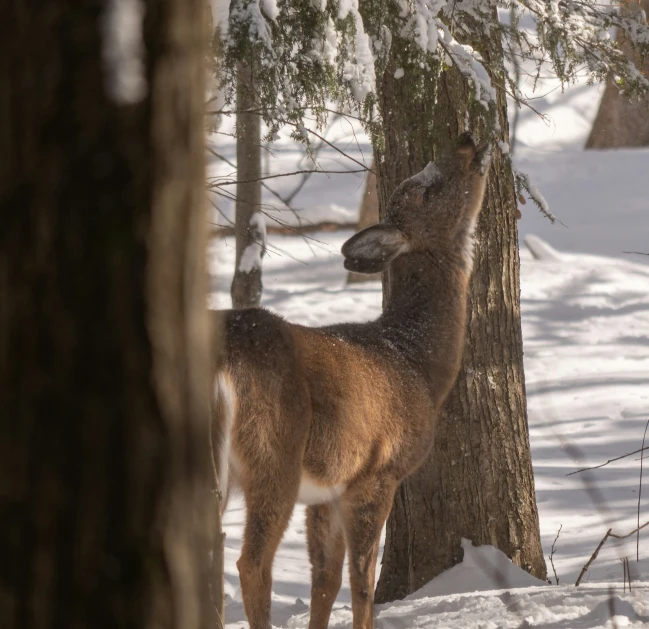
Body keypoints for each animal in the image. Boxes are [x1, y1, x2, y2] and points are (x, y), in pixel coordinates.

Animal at [214, 134, 492, 628]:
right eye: (425, 190)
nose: (465, 140)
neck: (415, 361)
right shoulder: (378, 472)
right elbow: (362, 581)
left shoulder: (327, 490)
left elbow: (324, 580)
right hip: (274, 452)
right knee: (251, 564)